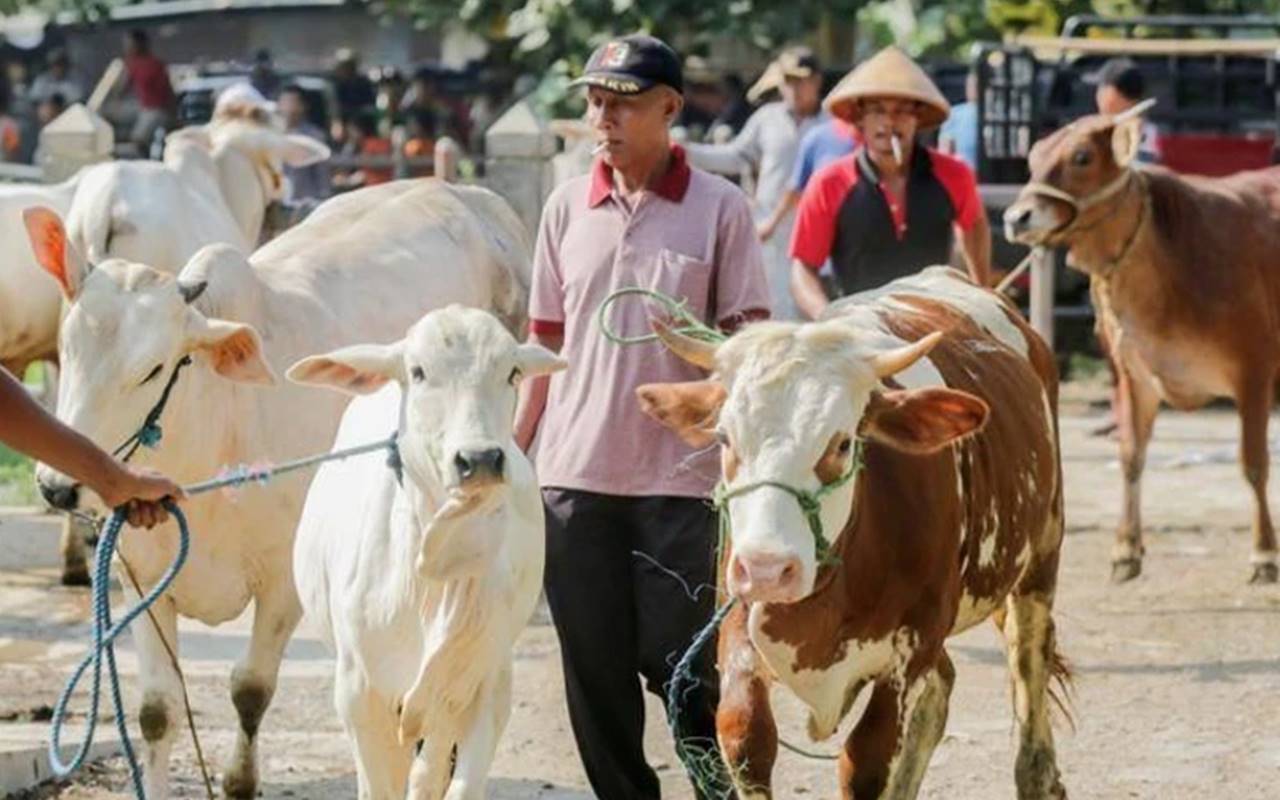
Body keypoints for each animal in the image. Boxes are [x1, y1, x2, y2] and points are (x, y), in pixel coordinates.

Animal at [23, 177, 535, 793]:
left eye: (152, 369)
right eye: (67, 346)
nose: (58, 487)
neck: (218, 426)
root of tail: (461, 190)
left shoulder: (282, 586)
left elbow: (251, 690)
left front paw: (240, 781)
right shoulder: (138, 575)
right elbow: (156, 710)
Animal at [288, 304, 568, 793]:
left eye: (512, 372)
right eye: (418, 372)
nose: (479, 460)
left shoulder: (485, 684)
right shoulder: (360, 693)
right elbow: (381, 786)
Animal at [640, 268, 1070, 798]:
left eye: (843, 443)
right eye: (724, 439)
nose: (767, 570)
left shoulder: (911, 648)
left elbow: (865, 761)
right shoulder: (738, 624)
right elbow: (744, 736)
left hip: (1040, 558)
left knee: (1028, 663)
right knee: (940, 692)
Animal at [1003, 107, 1280, 581]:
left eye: (1082, 157)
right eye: (1034, 155)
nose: (1017, 217)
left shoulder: (1254, 370)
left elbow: (1254, 463)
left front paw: (1264, 553)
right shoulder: (1134, 374)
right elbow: (1132, 456)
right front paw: (1126, 548)